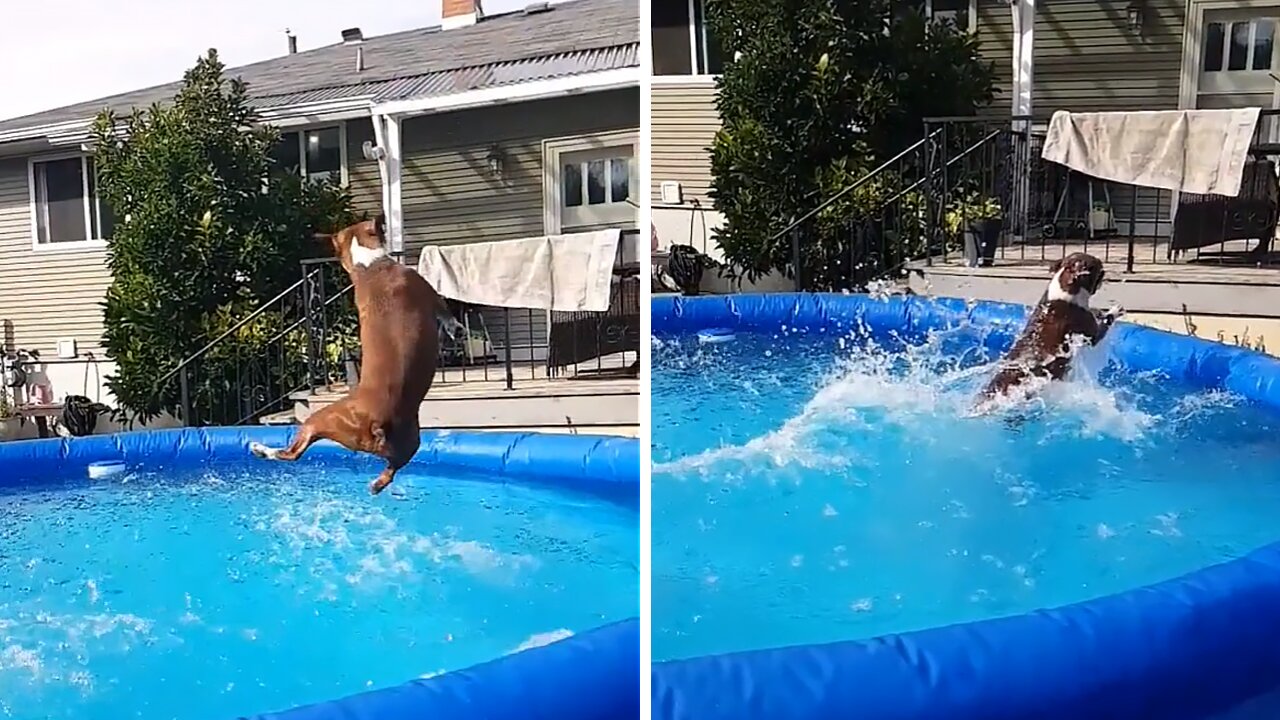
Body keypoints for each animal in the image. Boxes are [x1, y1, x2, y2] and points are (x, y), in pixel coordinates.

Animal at [247, 213, 463, 491]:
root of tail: (376, 424)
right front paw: (455, 328)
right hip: (322, 420)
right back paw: (261, 449)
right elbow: (445, 311)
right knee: (293, 452)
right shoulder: (428, 293)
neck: (369, 266)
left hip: (370, 433)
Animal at [972, 252, 1126, 409]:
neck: (1065, 288)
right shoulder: (1090, 334)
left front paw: (1099, 312)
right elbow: (1106, 322)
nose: (1104, 270)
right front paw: (1114, 311)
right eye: (1098, 267)